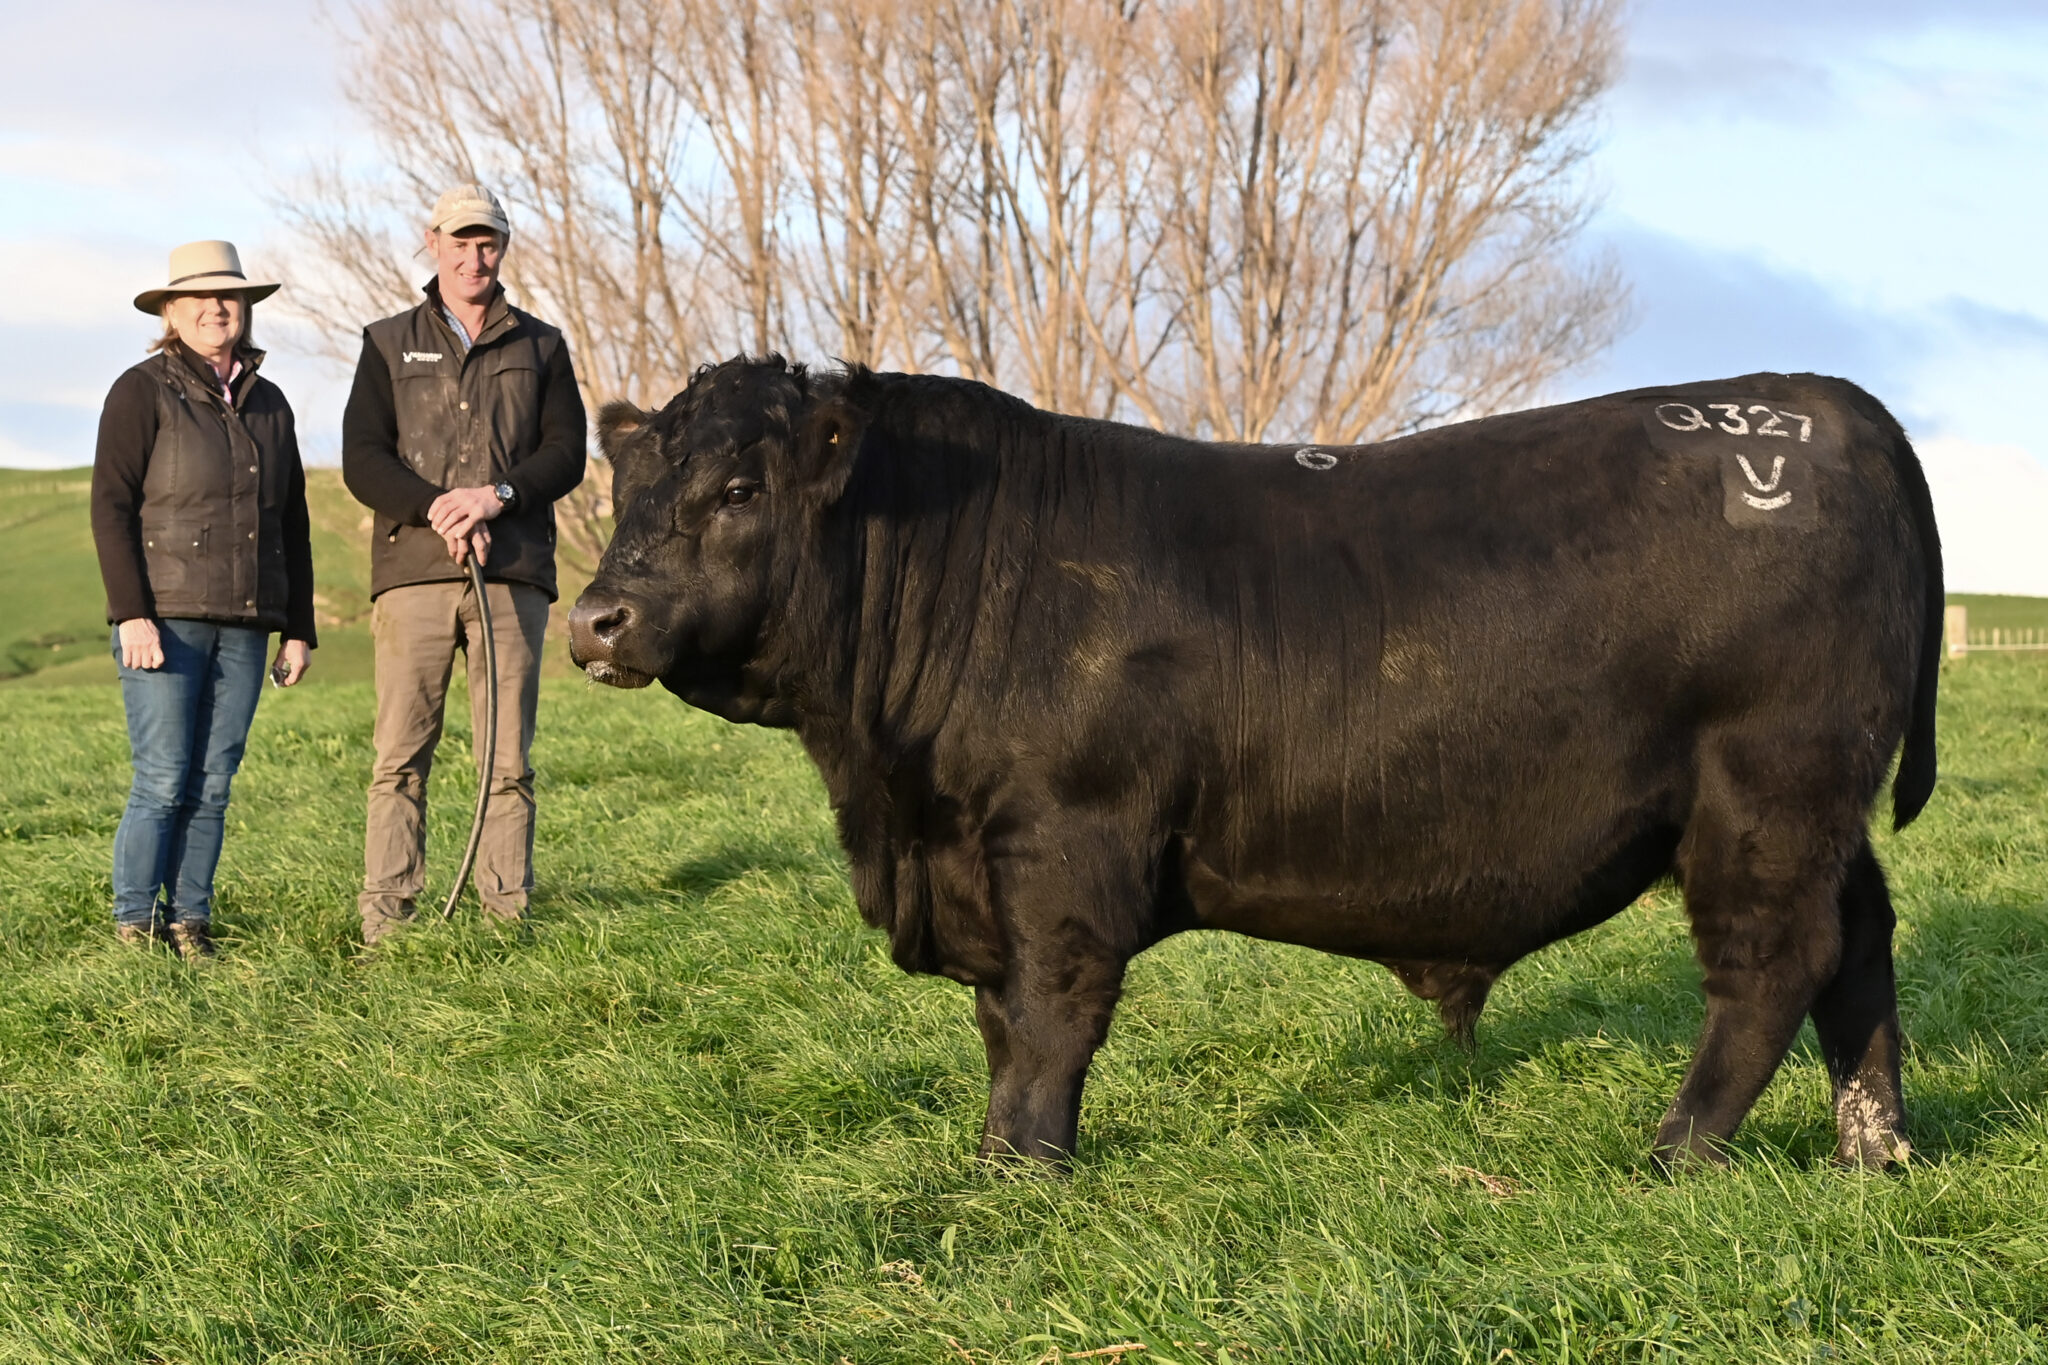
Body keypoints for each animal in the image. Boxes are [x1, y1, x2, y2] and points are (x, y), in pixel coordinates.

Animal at [568, 356, 1941, 1170]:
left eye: (738, 488)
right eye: (626, 481)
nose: (594, 620)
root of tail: (1817, 401)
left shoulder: (1064, 841)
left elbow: (1049, 1017)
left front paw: (1017, 1170)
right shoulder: (976, 857)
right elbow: (998, 1022)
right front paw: (1005, 1149)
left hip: (1764, 789)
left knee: (1772, 965)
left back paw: (1675, 1154)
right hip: (1821, 808)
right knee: (1858, 948)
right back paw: (1871, 1151)